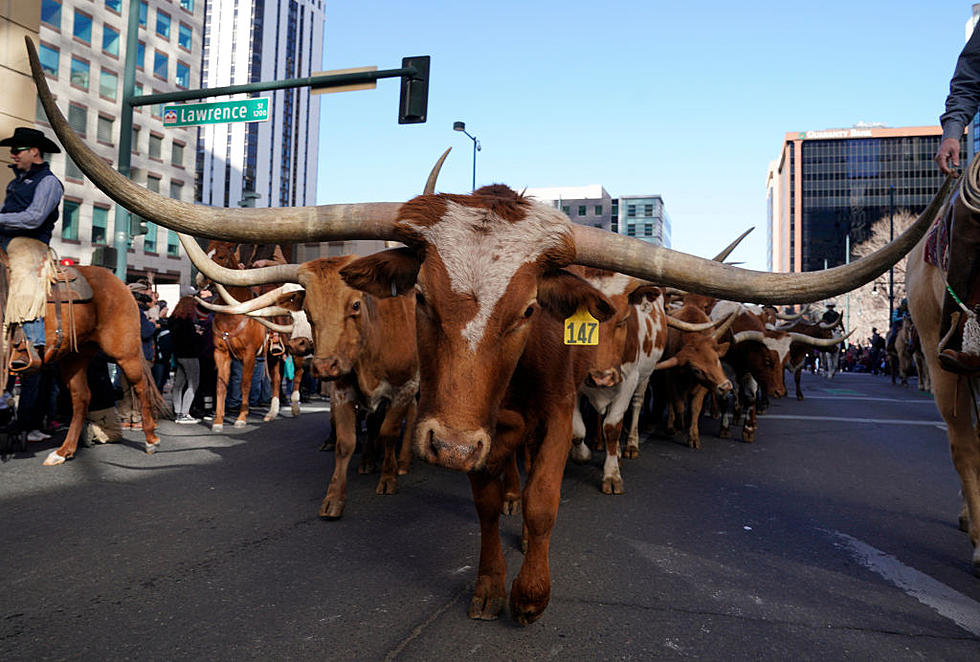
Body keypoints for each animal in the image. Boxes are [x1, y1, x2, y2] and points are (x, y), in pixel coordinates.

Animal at [0, 250, 167, 466]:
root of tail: (120, 283)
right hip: (74, 358)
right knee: (82, 397)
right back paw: (64, 451)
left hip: (125, 353)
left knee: (140, 387)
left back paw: (151, 440)